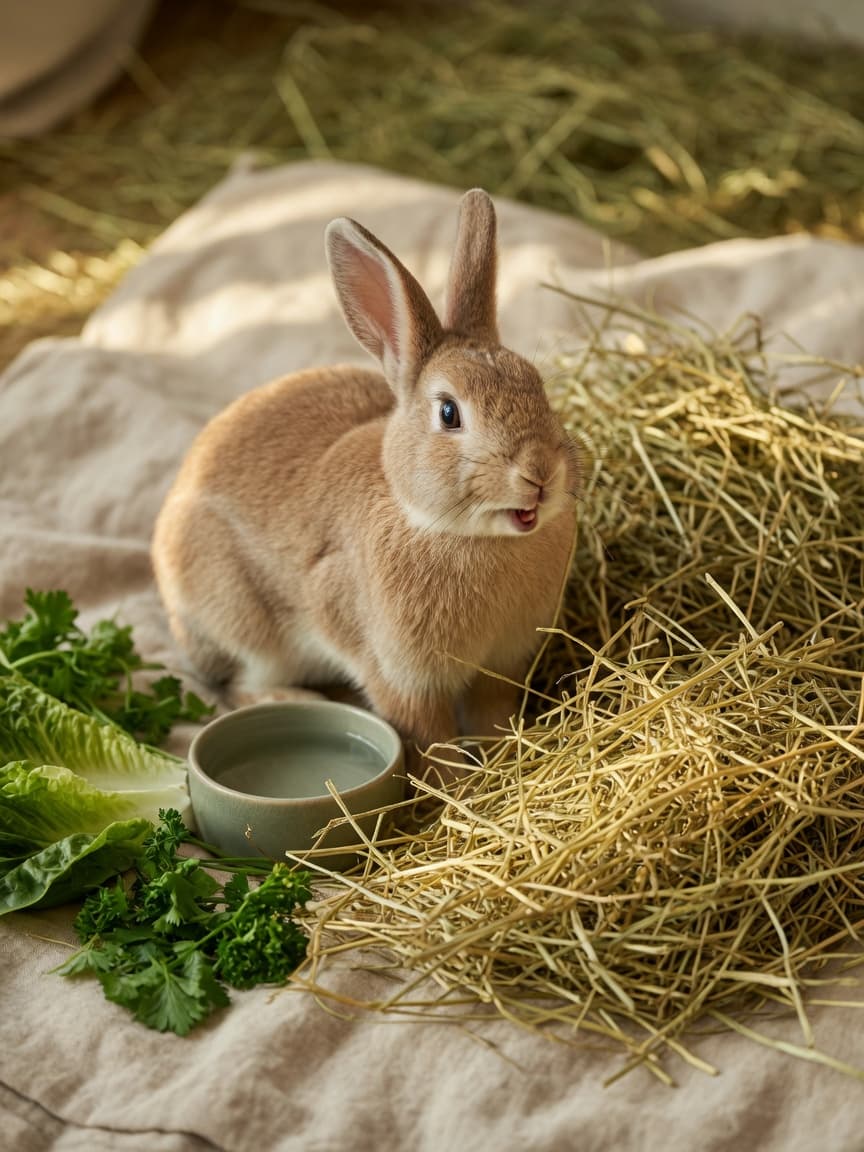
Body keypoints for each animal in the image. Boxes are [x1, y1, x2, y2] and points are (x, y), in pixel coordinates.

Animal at [151, 189, 581, 774]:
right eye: (449, 413)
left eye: (537, 386)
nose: (540, 473)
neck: (454, 532)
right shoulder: (397, 673)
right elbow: (431, 737)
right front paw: (459, 785)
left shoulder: (502, 666)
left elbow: (492, 716)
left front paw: (502, 760)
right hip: (243, 622)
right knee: (241, 684)